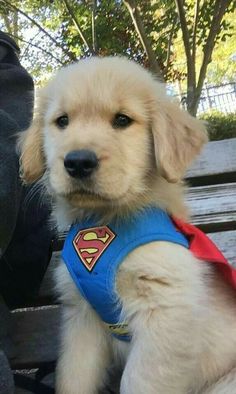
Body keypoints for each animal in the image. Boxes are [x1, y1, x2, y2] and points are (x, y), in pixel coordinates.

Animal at [19, 56, 236, 394]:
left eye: (122, 120)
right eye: (62, 121)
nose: (78, 162)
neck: (105, 220)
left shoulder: (165, 312)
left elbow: (139, 382)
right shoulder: (81, 318)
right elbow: (73, 377)